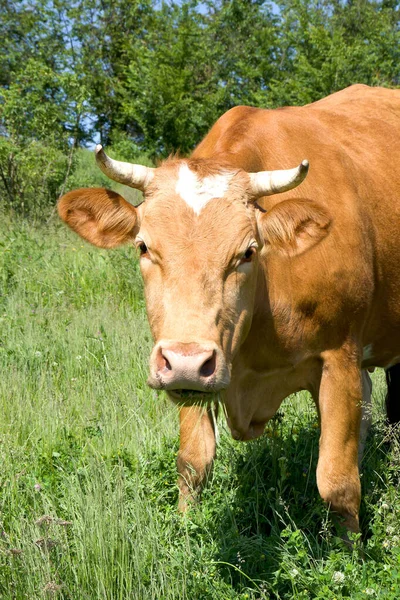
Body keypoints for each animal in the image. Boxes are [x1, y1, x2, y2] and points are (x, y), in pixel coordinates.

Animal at [58, 84, 400, 536]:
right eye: (143, 246)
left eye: (248, 252)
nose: (187, 361)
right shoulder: (191, 371)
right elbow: (192, 463)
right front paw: (184, 537)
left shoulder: (339, 358)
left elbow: (338, 483)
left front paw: (351, 548)